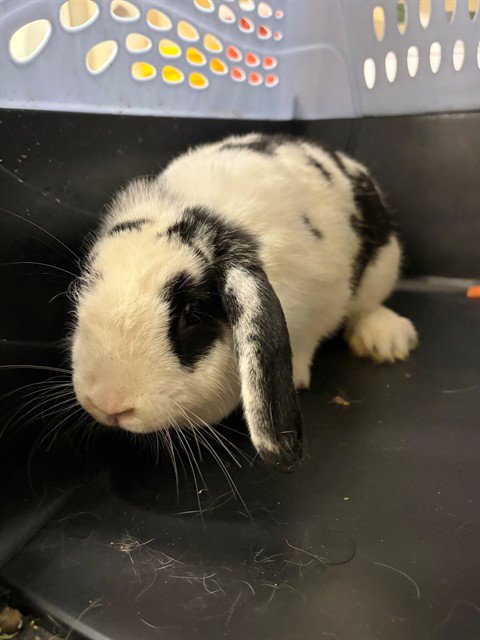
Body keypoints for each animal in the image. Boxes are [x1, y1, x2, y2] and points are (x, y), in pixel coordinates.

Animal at [71, 133, 418, 471]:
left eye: (193, 315)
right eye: (81, 288)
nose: (107, 404)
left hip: (382, 267)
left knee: (367, 307)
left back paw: (387, 342)